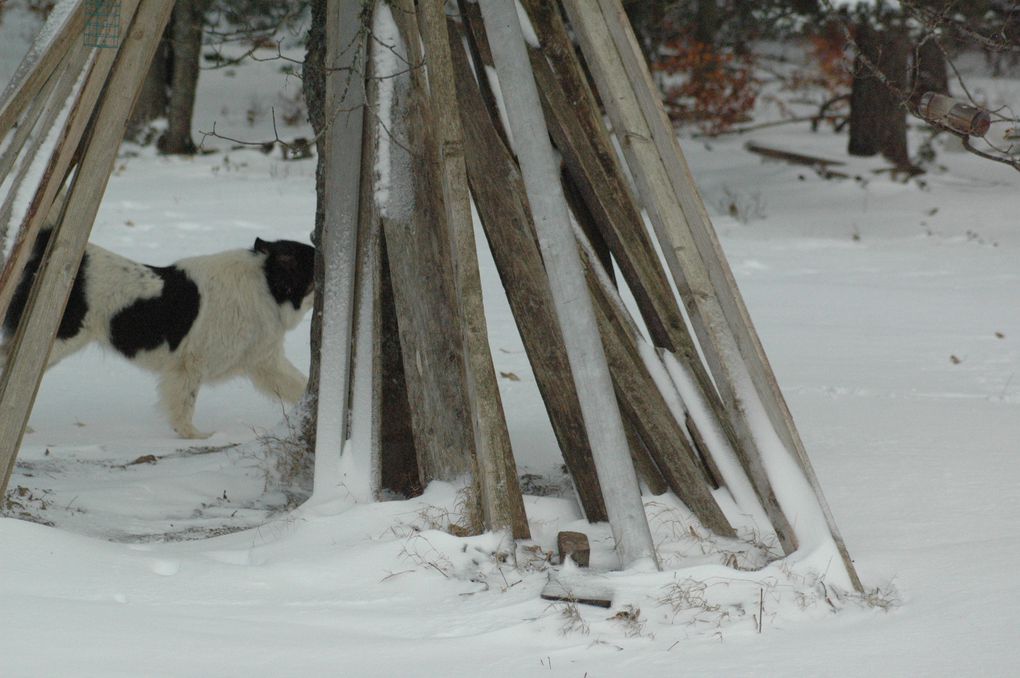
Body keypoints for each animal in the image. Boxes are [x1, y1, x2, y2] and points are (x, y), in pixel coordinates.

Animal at [1, 228, 314, 438]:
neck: (267, 285)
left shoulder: (266, 362)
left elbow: (299, 383)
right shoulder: (190, 365)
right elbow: (184, 404)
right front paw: (194, 436)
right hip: (56, 340)